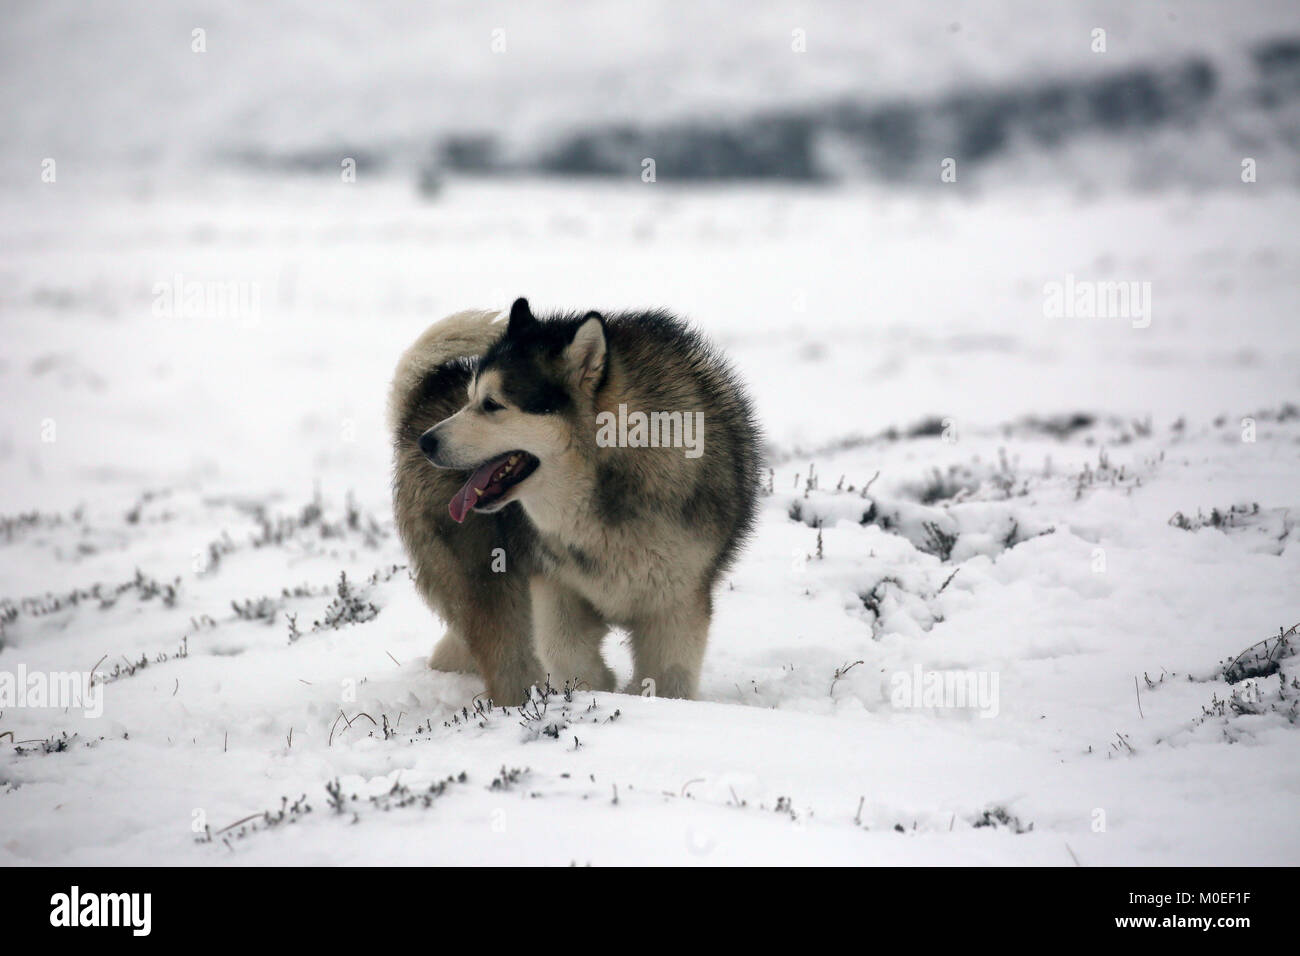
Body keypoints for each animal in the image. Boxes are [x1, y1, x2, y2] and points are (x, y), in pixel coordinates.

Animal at [384, 297, 759, 702]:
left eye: (492, 404)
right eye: (471, 400)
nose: (427, 442)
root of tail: (423, 400)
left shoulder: (676, 605)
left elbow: (667, 678)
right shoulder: (552, 582)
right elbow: (562, 651)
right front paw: (596, 690)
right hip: (491, 585)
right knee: (507, 655)